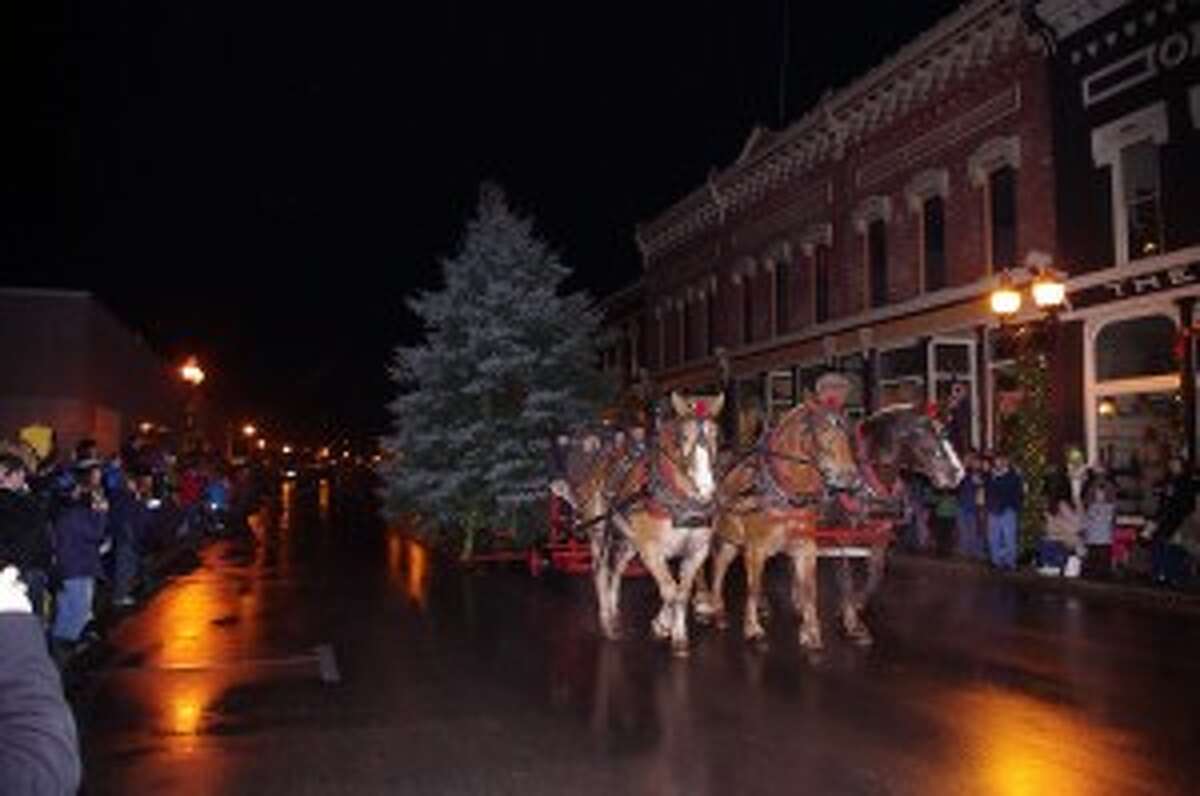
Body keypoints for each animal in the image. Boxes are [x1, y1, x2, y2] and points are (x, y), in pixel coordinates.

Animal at [696, 401, 864, 653]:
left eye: (849, 433)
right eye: (824, 431)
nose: (851, 479)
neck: (781, 490)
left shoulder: (806, 548)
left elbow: (809, 591)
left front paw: (812, 633)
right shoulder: (756, 549)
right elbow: (752, 587)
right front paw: (753, 629)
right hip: (724, 540)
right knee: (716, 569)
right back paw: (713, 608)